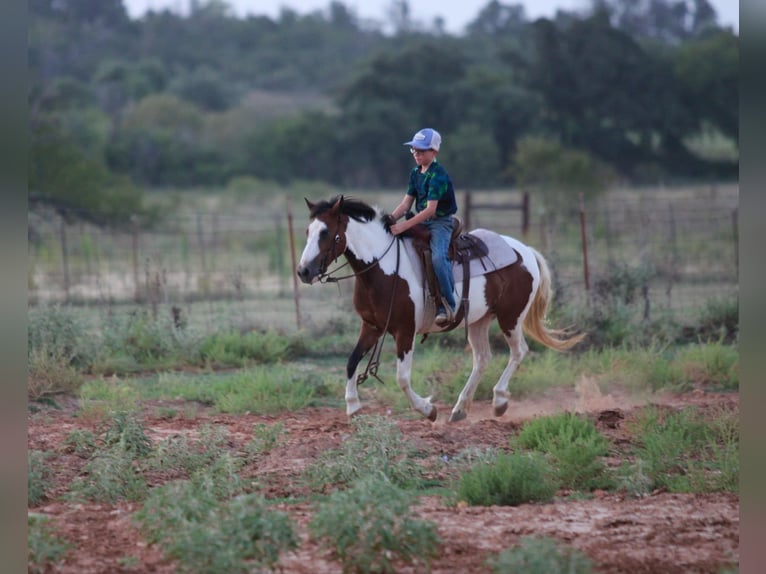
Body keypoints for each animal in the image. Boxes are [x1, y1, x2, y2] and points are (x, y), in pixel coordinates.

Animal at [296, 195, 584, 423]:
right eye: (308, 231)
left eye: (325, 232)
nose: (303, 271)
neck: (383, 268)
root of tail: (524, 250)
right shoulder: (371, 326)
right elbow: (351, 361)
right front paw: (353, 406)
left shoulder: (405, 331)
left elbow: (402, 378)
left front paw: (427, 409)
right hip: (479, 321)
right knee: (482, 359)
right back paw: (460, 409)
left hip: (510, 317)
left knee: (519, 351)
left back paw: (499, 401)